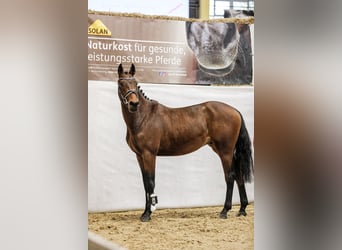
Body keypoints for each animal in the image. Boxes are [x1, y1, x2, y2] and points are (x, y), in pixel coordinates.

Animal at [117, 63, 254, 222]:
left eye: (135, 83)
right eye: (121, 84)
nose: (134, 104)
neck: (143, 118)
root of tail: (235, 111)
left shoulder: (149, 154)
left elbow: (151, 182)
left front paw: (148, 214)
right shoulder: (139, 156)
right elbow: (145, 183)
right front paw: (145, 212)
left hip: (225, 152)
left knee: (230, 177)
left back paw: (225, 210)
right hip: (228, 151)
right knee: (239, 175)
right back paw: (242, 209)